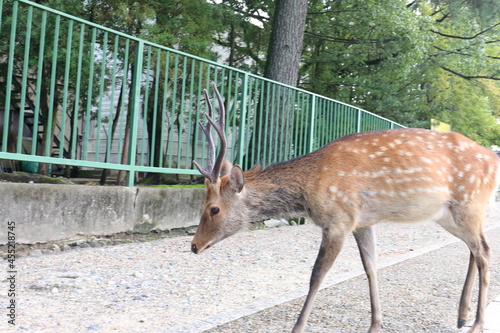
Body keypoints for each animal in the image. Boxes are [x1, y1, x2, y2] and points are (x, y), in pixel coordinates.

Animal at [189, 83, 498, 332]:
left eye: (214, 209)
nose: (194, 245)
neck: (310, 188)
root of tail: (493, 160)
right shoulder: (363, 221)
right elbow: (371, 267)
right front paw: (375, 324)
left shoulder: (339, 219)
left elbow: (316, 275)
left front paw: (298, 327)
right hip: (448, 215)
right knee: (474, 248)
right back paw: (462, 315)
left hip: (470, 203)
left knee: (484, 249)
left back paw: (478, 323)